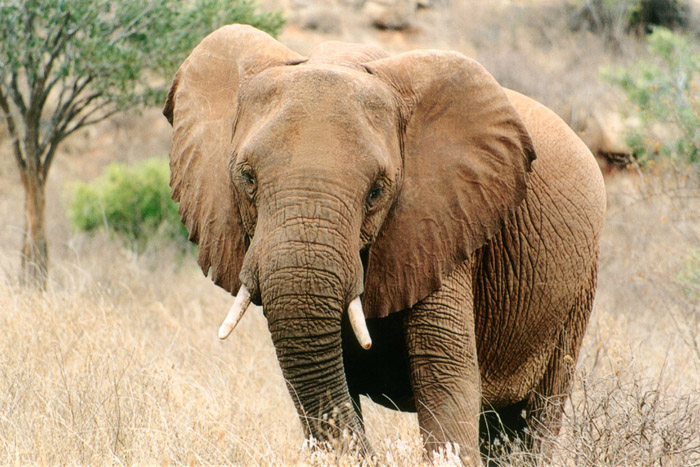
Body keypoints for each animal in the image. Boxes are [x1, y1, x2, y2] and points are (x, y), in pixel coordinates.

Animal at [163, 24, 606, 464]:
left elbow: (444, 376)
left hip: (575, 294)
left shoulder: (444, 223)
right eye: (247, 178)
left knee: (536, 416)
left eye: (377, 191)